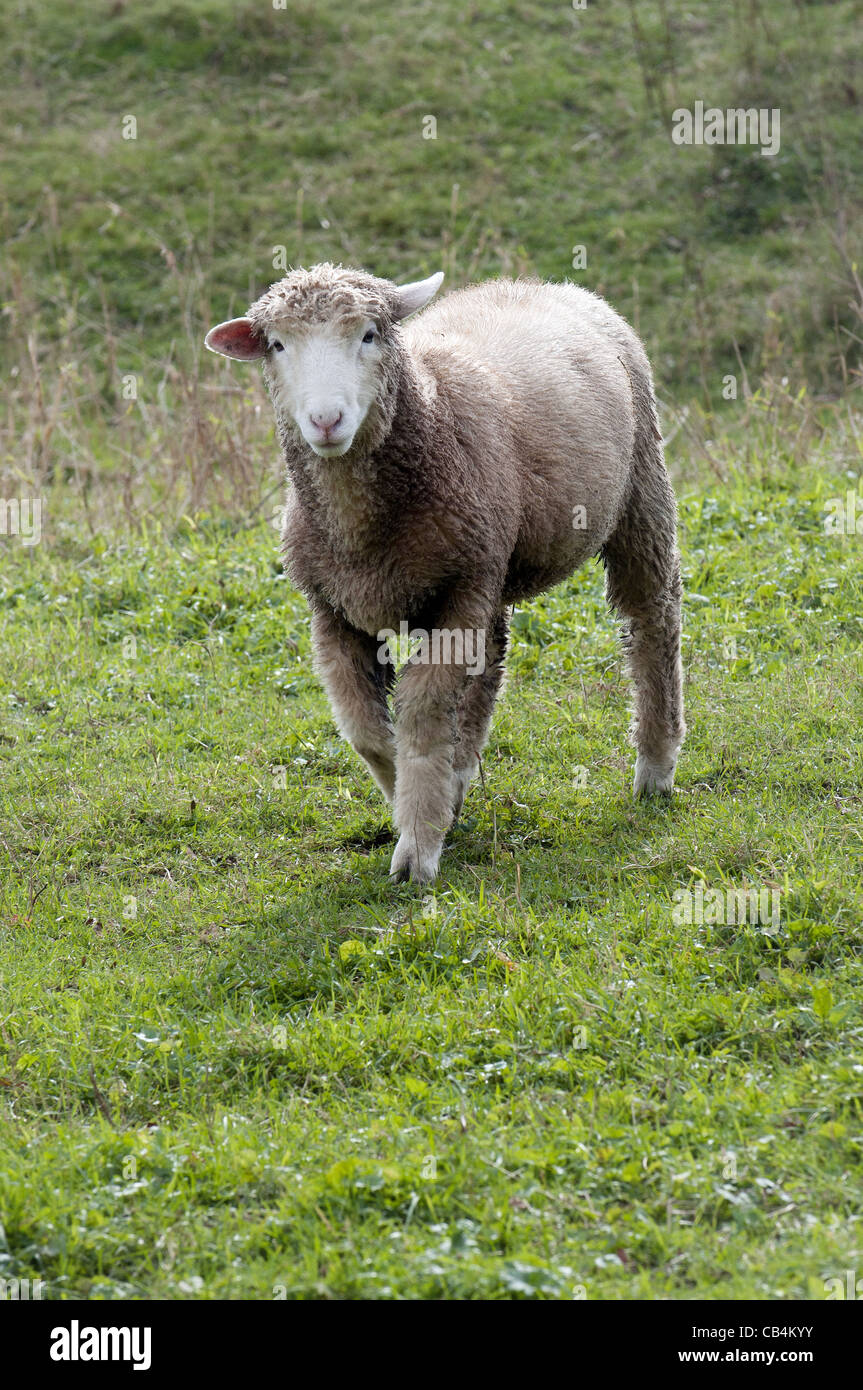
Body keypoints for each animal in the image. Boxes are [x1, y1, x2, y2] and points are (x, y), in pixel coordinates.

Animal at [205, 263, 685, 884]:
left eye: (369, 335)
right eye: (278, 346)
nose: (326, 420)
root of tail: (546, 283)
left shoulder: (457, 594)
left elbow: (422, 713)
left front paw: (418, 843)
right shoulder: (332, 610)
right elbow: (366, 729)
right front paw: (416, 799)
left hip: (637, 492)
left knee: (652, 619)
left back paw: (656, 766)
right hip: (490, 566)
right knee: (492, 657)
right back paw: (460, 774)